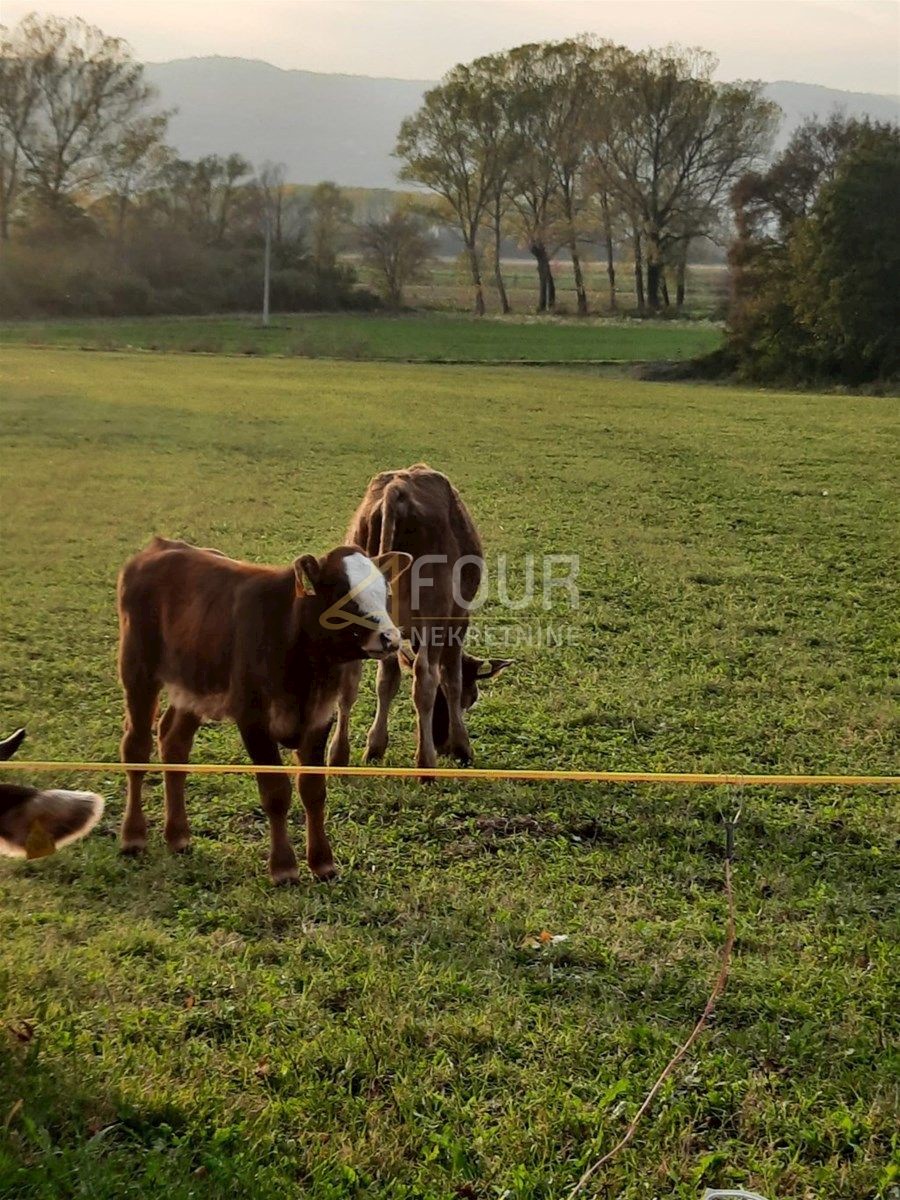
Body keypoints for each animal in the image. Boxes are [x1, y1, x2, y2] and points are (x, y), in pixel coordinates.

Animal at [117, 535, 412, 883]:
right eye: (343, 593)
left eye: (385, 590)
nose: (390, 638)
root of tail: (159, 546)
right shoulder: (253, 721)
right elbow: (276, 792)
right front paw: (283, 866)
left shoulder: (319, 719)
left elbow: (313, 790)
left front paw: (322, 862)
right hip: (138, 671)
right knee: (136, 747)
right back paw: (133, 836)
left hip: (194, 684)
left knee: (174, 742)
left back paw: (178, 835)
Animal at [328, 463, 513, 772]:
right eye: (472, 698)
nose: (441, 743)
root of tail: (397, 489)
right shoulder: (457, 620)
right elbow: (450, 677)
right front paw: (462, 746)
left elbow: (386, 681)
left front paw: (375, 746)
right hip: (434, 616)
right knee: (425, 676)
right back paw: (426, 765)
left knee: (349, 677)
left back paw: (337, 757)